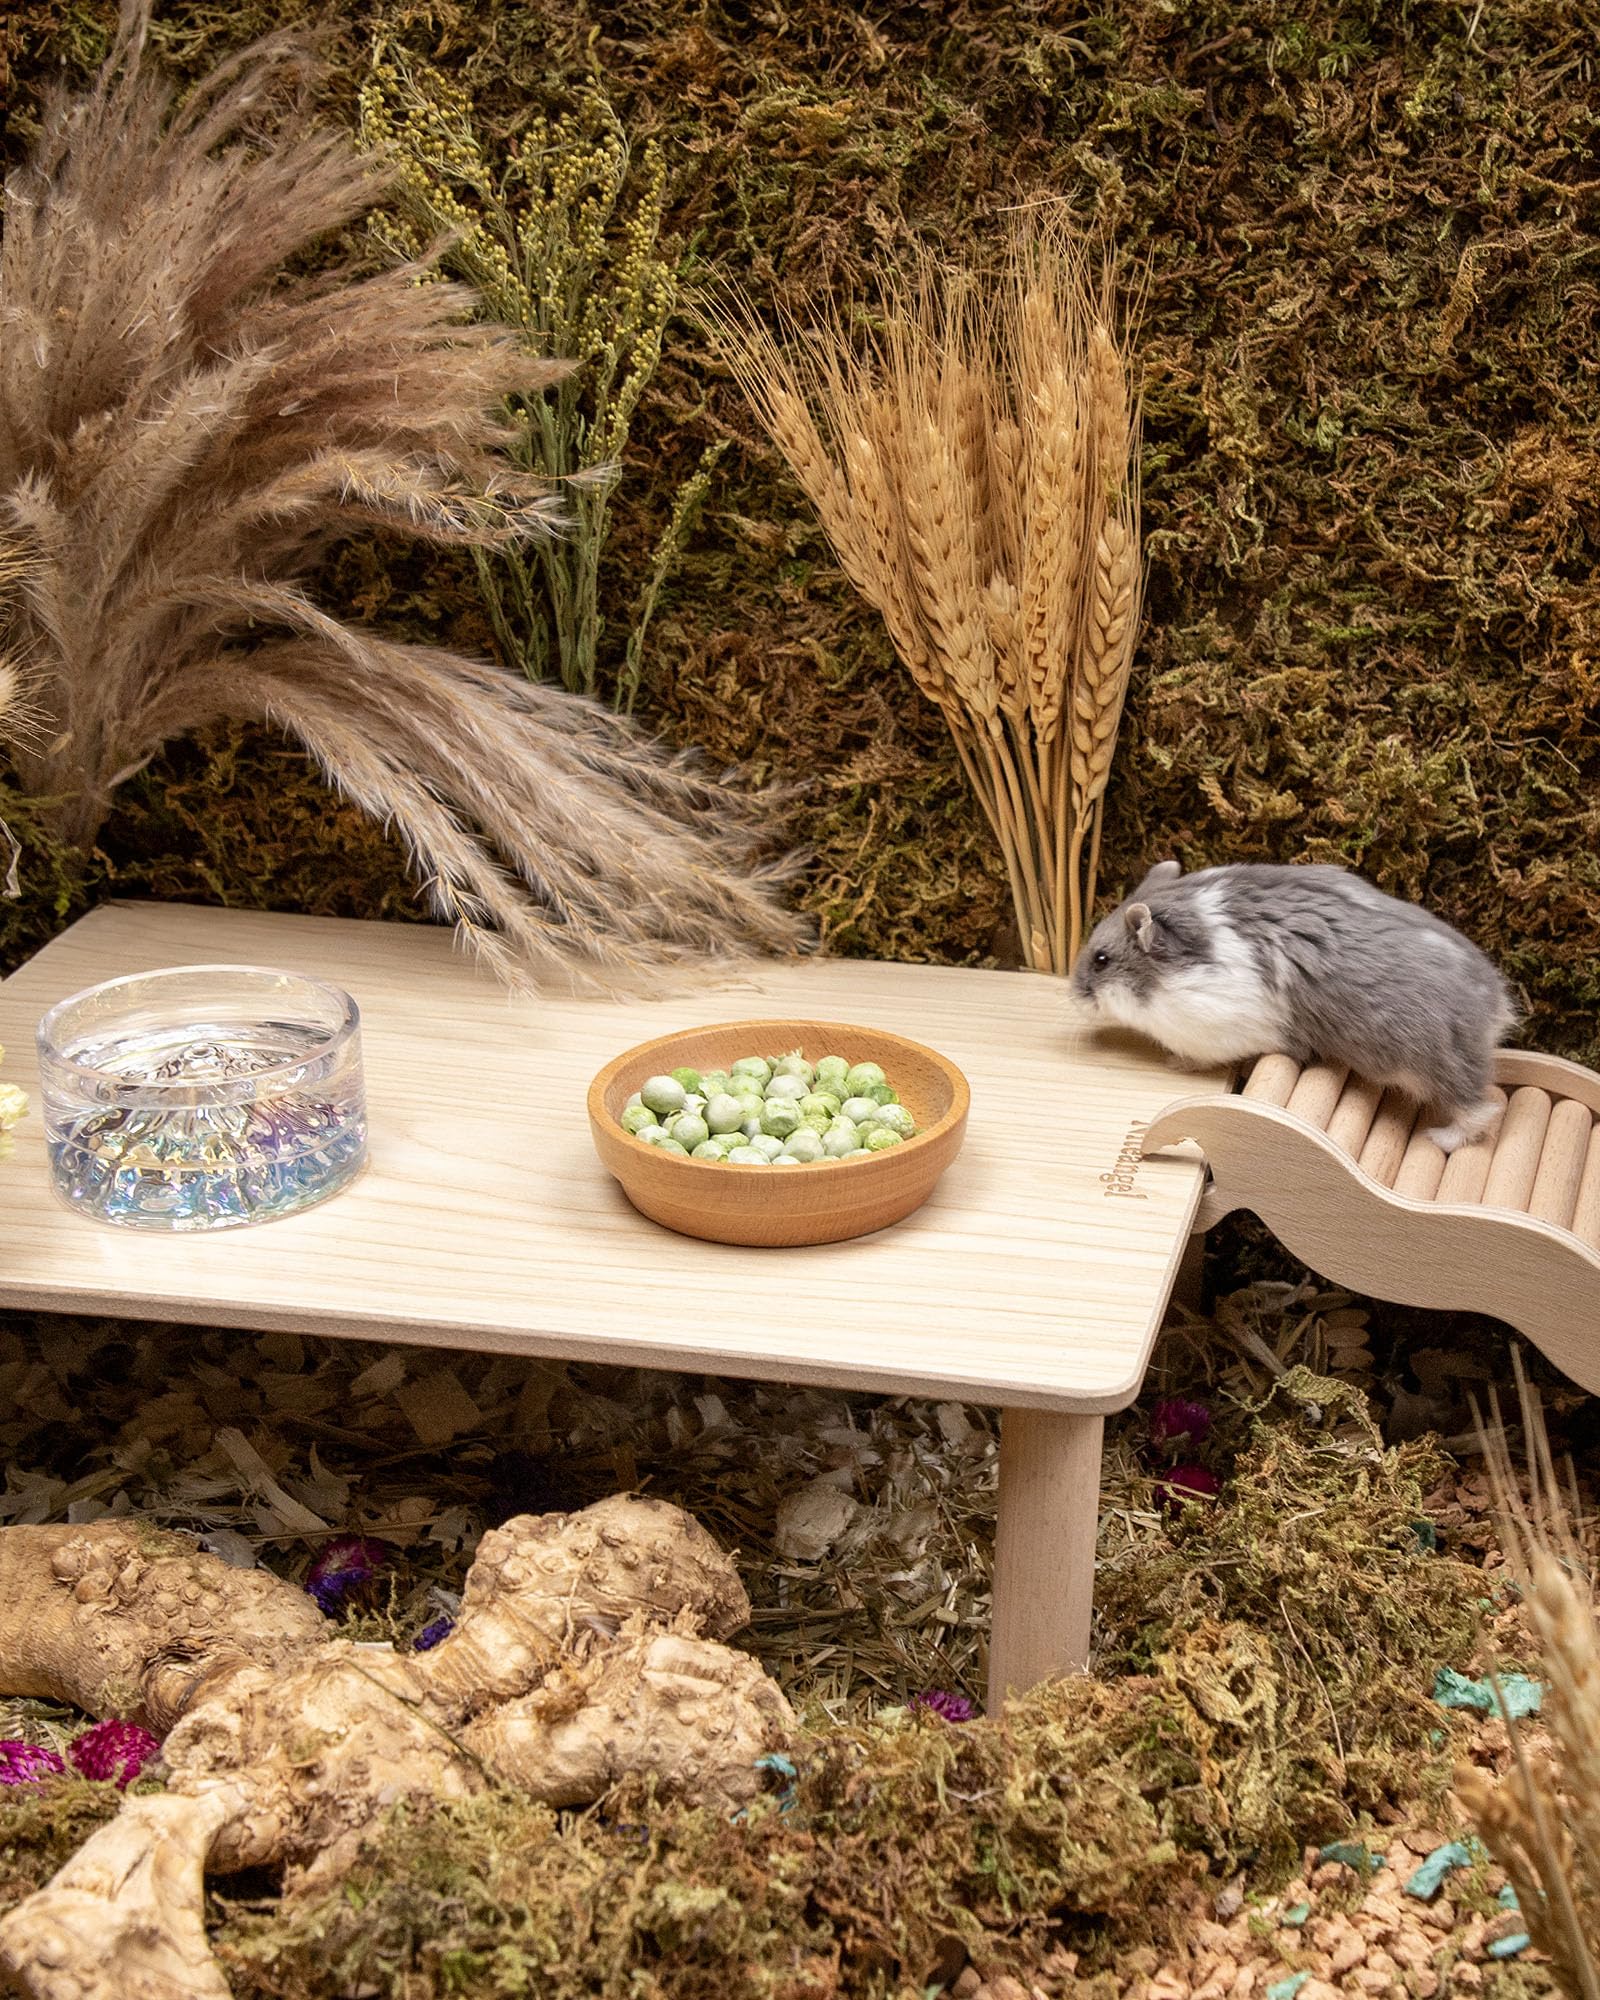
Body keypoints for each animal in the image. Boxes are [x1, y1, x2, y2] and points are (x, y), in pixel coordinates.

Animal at [1071, 859, 1517, 1153]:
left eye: (1101, 959)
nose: (1073, 995)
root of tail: (1495, 1005)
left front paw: (1175, 1063)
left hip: (1432, 1062)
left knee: (1482, 1107)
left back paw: (1439, 1138)